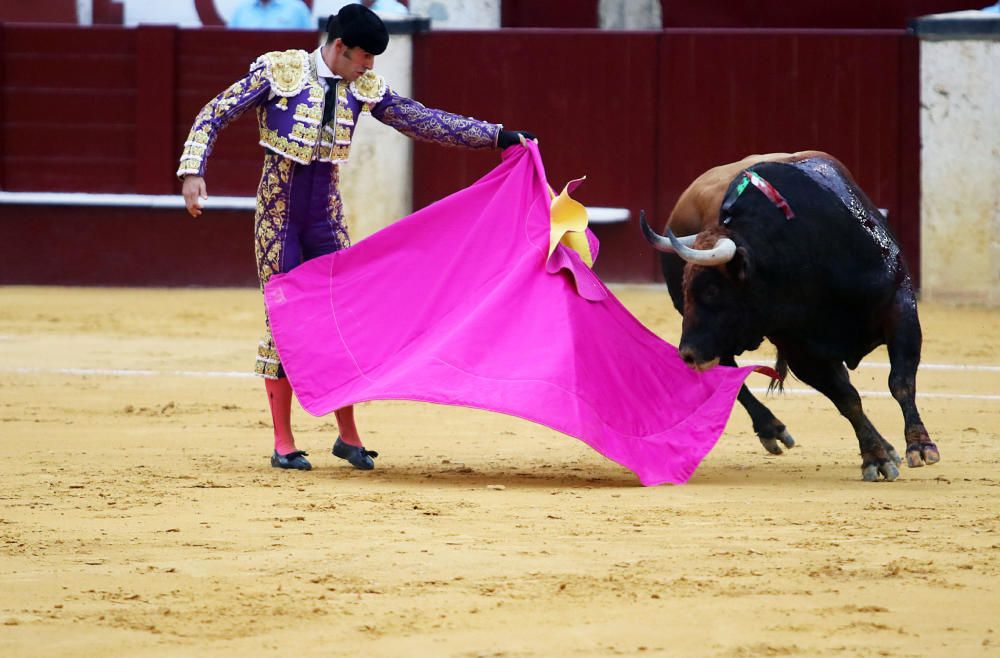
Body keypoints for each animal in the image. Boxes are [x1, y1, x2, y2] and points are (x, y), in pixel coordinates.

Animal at [640, 155, 936, 482]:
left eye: (712, 289)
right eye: (686, 286)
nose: (688, 354)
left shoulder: (900, 305)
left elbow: (900, 381)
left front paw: (920, 446)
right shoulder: (800, 351)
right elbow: (847, 399)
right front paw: (875, 458)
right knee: (729, 369)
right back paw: (772, 428)